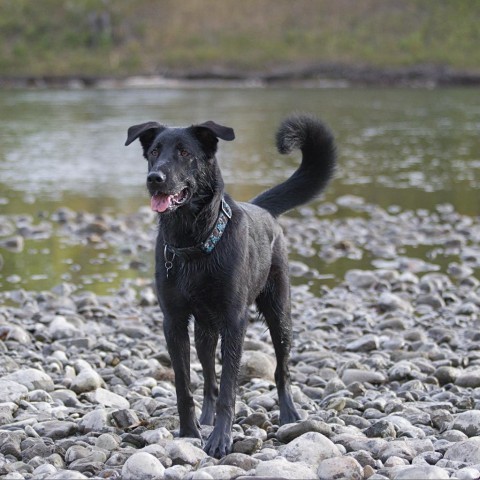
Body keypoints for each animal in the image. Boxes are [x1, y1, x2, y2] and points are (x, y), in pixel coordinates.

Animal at [125, 113, 336, 458]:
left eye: (185, 152)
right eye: (154, 151)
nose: (154, 178)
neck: (193, 243)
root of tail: (263, 208)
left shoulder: (235, 321)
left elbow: (229, 387)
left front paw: (220, 439)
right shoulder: (174, 322)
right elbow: (185, 384)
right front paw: (189, 432)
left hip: (279, 313)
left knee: (281, 370)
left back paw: (289, 413)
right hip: (204, 332)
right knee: (209, 380)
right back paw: (205, 418)